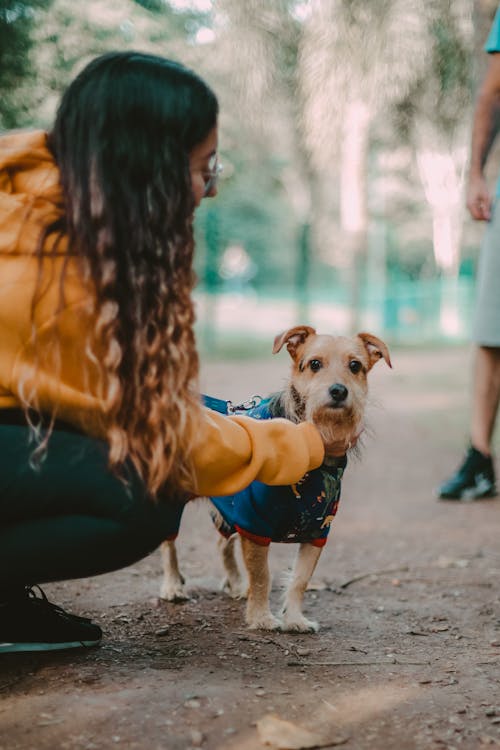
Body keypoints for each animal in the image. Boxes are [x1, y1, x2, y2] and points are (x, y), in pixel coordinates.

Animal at [159, 326, 390, 632]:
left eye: (355, 366)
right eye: (314, 364)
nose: (339, 391)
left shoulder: (318, 531)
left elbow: (301, 579)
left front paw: (294, 619)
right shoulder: (254, 524)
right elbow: (262, 576)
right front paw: (261, 618)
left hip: (230, 510)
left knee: (222, 544)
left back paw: (236, 585)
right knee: (169, 544)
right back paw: (173, 586)